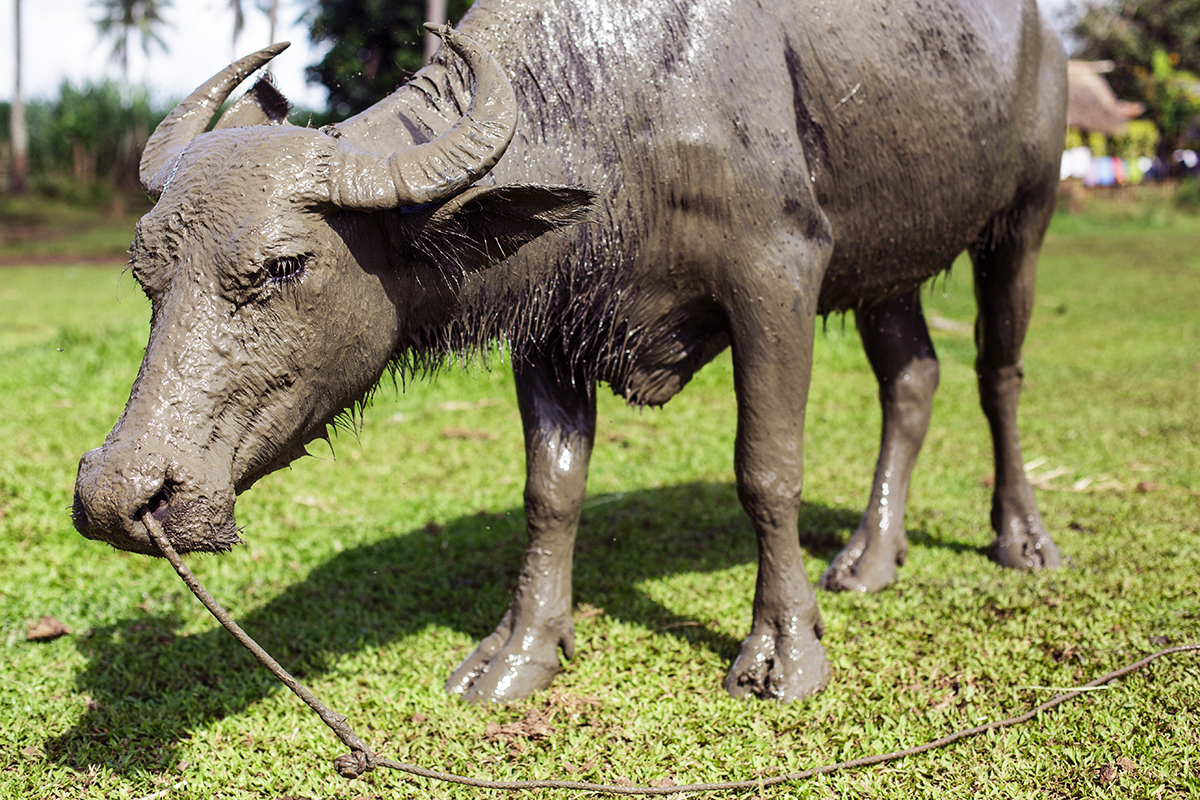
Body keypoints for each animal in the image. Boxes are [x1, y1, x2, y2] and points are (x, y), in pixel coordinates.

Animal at [72, 0, 1070, 700]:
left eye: (284, 265)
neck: (624, 105)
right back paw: (871, 554)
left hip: (1023, 220)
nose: (118, 494)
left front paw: (784, 651)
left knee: (999, 373)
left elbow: (767, 469)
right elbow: (550, 491)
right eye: (146, 269)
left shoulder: (778, 275)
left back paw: (1022, 537)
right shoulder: (549, 322)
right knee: (914, 377)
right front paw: (520, 653)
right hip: (889, 261)